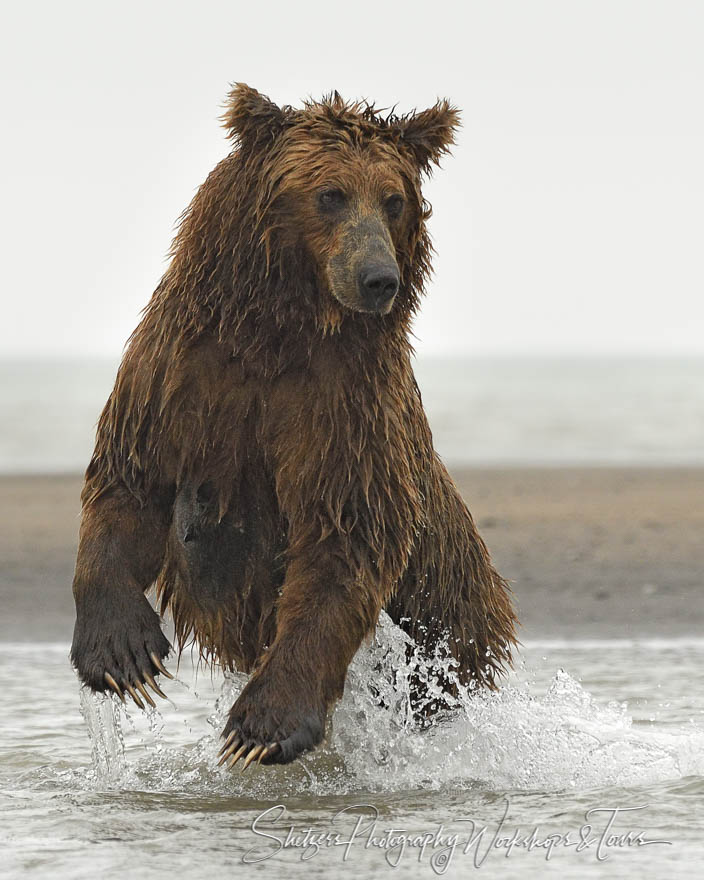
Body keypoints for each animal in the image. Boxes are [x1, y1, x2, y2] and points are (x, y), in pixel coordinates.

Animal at [70, 84, 516, 768]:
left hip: (451, 611)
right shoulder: (180, 372)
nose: (378, 279)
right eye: (331, 193)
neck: (279, 331)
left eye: (393, 199)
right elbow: (130, 481)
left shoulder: (344, 404)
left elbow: (344, 534)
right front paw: (123, 655)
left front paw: (262, 727)